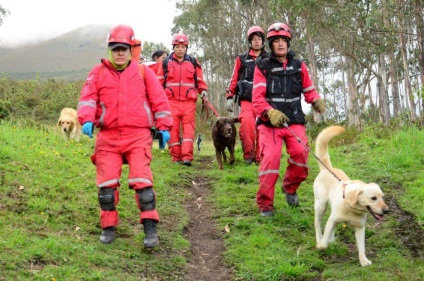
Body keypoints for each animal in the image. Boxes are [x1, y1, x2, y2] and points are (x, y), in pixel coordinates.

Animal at [314, 126, 390, 266]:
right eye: (373, 198)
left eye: (382, 197)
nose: (387, 210)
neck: (352, 207)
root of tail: (327, 169)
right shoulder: (333, 219)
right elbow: (325, 238)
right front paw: (322, 245)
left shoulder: (360, 228)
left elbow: (361, 247)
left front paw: (364, 260)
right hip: (320, 206)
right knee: (317, 224)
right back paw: (319, 238)